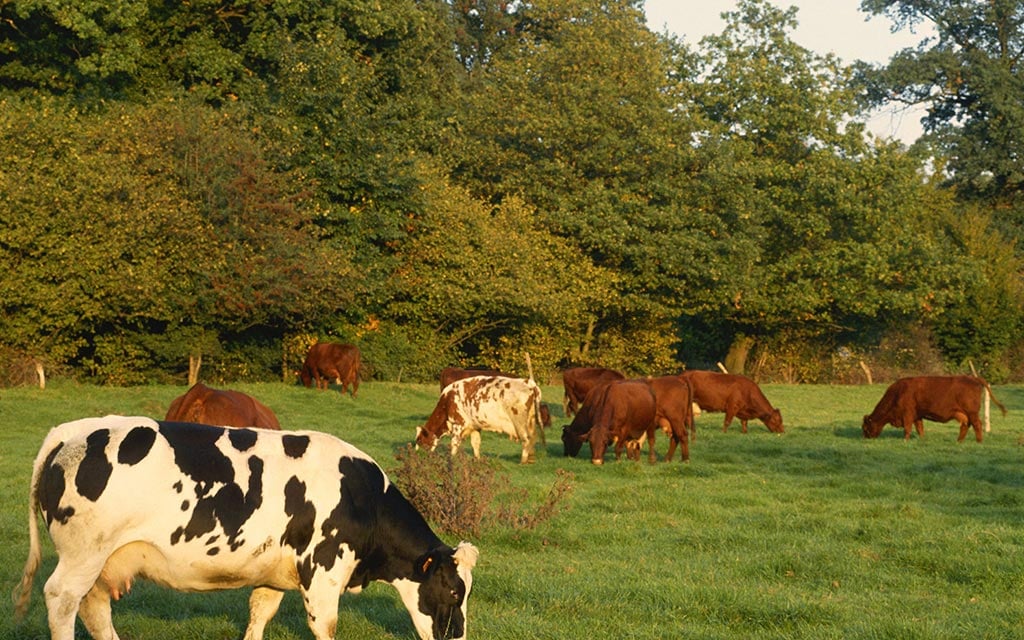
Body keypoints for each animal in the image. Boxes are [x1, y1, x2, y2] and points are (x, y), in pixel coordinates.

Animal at [14, 413, 479, 638]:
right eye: (455, 591)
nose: (457, 637)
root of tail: (76, 428)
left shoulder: (274, 573)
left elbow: (260, 615)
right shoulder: (324, 573)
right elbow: (325, 626)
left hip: (101, 560)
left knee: (92, 608)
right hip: (83, 554)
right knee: (61, 601)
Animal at [415, 374, 544, 464]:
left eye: (420, 440)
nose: (416, 455)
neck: (447, 401)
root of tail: (529, 382)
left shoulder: (458, 423)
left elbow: (454, 443)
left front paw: (451, 458)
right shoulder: (475, 426)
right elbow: (475, 443)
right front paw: (477, 459)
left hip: (520, 423)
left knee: (527, 439)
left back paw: (523, 461)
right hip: (531, 422)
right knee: (533, 438)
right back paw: (531, 459)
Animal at [860, 372, 1003, 442]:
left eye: (865, 427)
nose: (865, 438)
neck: (897, 393)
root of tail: (973, 378)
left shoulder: (907, 414)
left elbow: (907, 429)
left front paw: (905, 441)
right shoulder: (917, 416)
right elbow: (920, 429)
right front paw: (922, 440)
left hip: (972, 412)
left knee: (977, 424)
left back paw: (979, 441)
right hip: (964, 414)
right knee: (965, 425)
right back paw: (959, 441)